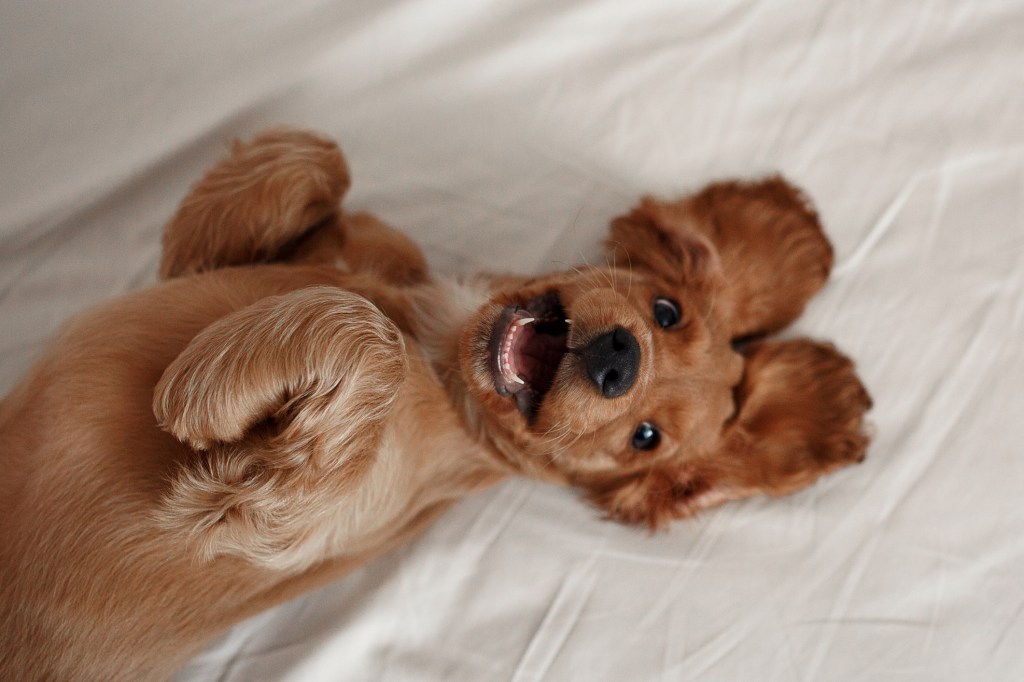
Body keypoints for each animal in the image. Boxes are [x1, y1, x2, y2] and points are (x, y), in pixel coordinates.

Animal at [0, 129, 872, 679]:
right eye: (666, 311)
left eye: (646, 438)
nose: (619, 360)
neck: (446, 346)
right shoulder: (246, 256)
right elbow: (316, 157)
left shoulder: (261, 519)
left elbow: (365, 338)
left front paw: (206, 386)